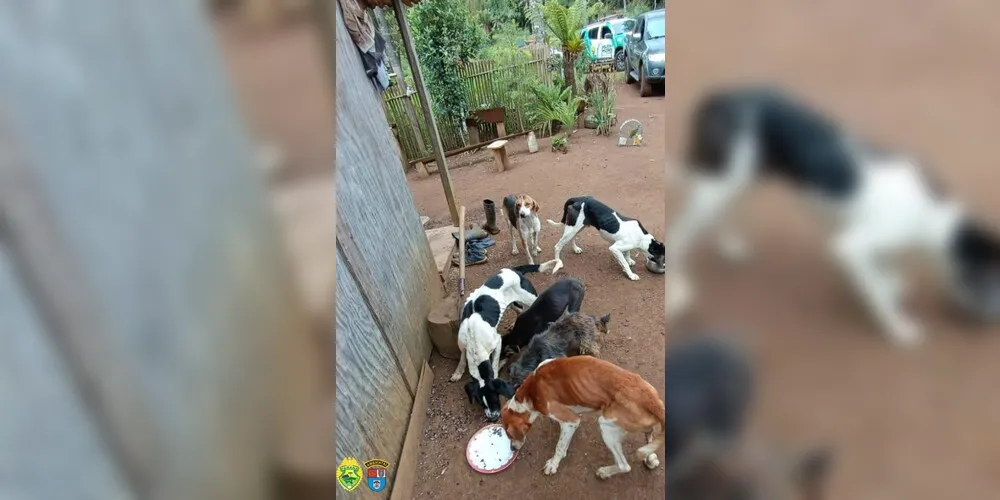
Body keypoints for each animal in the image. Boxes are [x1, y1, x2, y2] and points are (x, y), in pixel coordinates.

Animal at [456, 260, 564, 420]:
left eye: (495, 397)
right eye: (481, 403)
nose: (493, 418)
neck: (473, 339)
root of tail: (514, 270)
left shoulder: (497, 342)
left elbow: (494, 364)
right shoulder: (463, 344)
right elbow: (462, 358)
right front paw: (457, 372)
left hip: (531, 298)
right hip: (513, 303)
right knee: (520, 310)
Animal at [500, 356, 664, 480]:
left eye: (509, 435)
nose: (512, 449)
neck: (531, 392)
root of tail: (652, 401)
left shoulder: (570, 420)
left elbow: (559, 446)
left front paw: (553, 464)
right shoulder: (572, 419)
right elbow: (564, 441)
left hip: (606, 426)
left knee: (625, 466)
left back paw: (605, 472)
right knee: (649, 437)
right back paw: (650, 458)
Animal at [668, 86, 1000, 346]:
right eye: (992, 278)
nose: (993, 322)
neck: (933, 222)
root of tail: (721, 96)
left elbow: (886, 277)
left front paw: (893, 285)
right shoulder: (851, 247)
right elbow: (879, 292)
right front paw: (899, 328)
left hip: (739, 178)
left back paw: (729, 245)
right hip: (724, 181)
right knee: (681, 236)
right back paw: (680, 291)